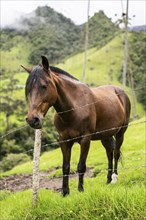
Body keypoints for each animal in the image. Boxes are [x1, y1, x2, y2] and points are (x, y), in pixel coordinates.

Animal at [22, 56, 131, 196]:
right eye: (28, 89)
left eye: (44, 86)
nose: (32, 119)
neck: (74, 109)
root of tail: (120, 91)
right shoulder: (64, 140)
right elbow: (65, 166)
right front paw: (65, 192)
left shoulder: (85, 139)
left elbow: (81, 165)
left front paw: (80, 190)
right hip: (105, 136)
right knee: (109, 153)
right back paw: (108, 179)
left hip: (121, 132)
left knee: (116, 152)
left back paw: (114, 178)